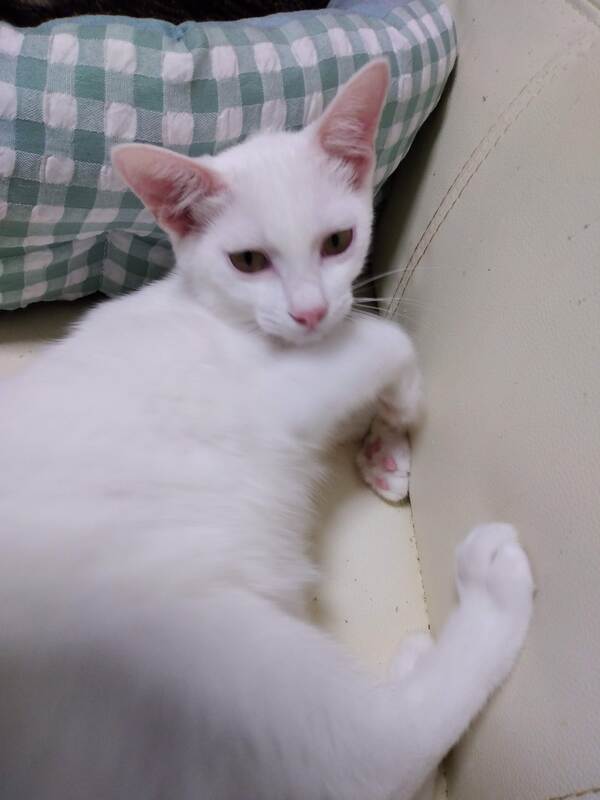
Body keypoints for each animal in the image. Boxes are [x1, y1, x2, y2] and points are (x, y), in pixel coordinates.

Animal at [0, 60, 533, 799]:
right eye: (248, 261)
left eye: (337, 242)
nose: (308, 311)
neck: (218, 313)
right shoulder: (280, 393)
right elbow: (388, 339)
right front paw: (399, 411)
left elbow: (365, 346)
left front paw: (384, 450)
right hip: (204, 651)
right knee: (372, 759)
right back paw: (489, 594)